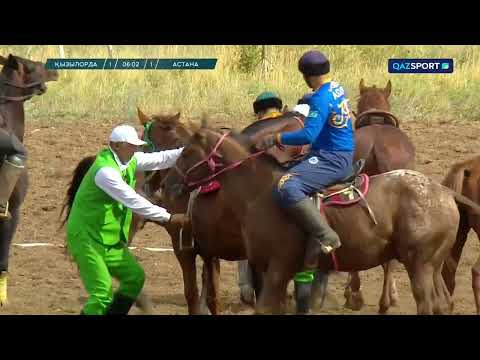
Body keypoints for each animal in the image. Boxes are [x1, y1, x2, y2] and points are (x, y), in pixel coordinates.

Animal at [161, 122, 480, 314]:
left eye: (187, 152)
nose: (166, 185)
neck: (260, 192)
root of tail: (443, 191)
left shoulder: (278, 268)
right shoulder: (270, 271)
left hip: (420, 267)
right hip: (434, 266)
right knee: (444, 303)